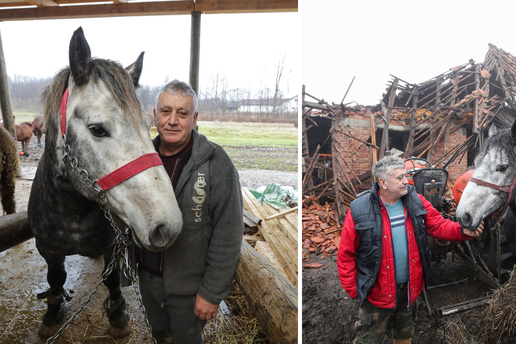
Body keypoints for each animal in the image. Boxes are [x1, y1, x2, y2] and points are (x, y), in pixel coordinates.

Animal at [27, 26, 183, 338]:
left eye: (148, 124)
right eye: (97, 129)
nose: (168, 227)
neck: (72, 213)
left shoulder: (114, 245)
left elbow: (111, 279)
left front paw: (118, 314)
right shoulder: (47, 249)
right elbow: (55, 278)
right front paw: (52, 313)